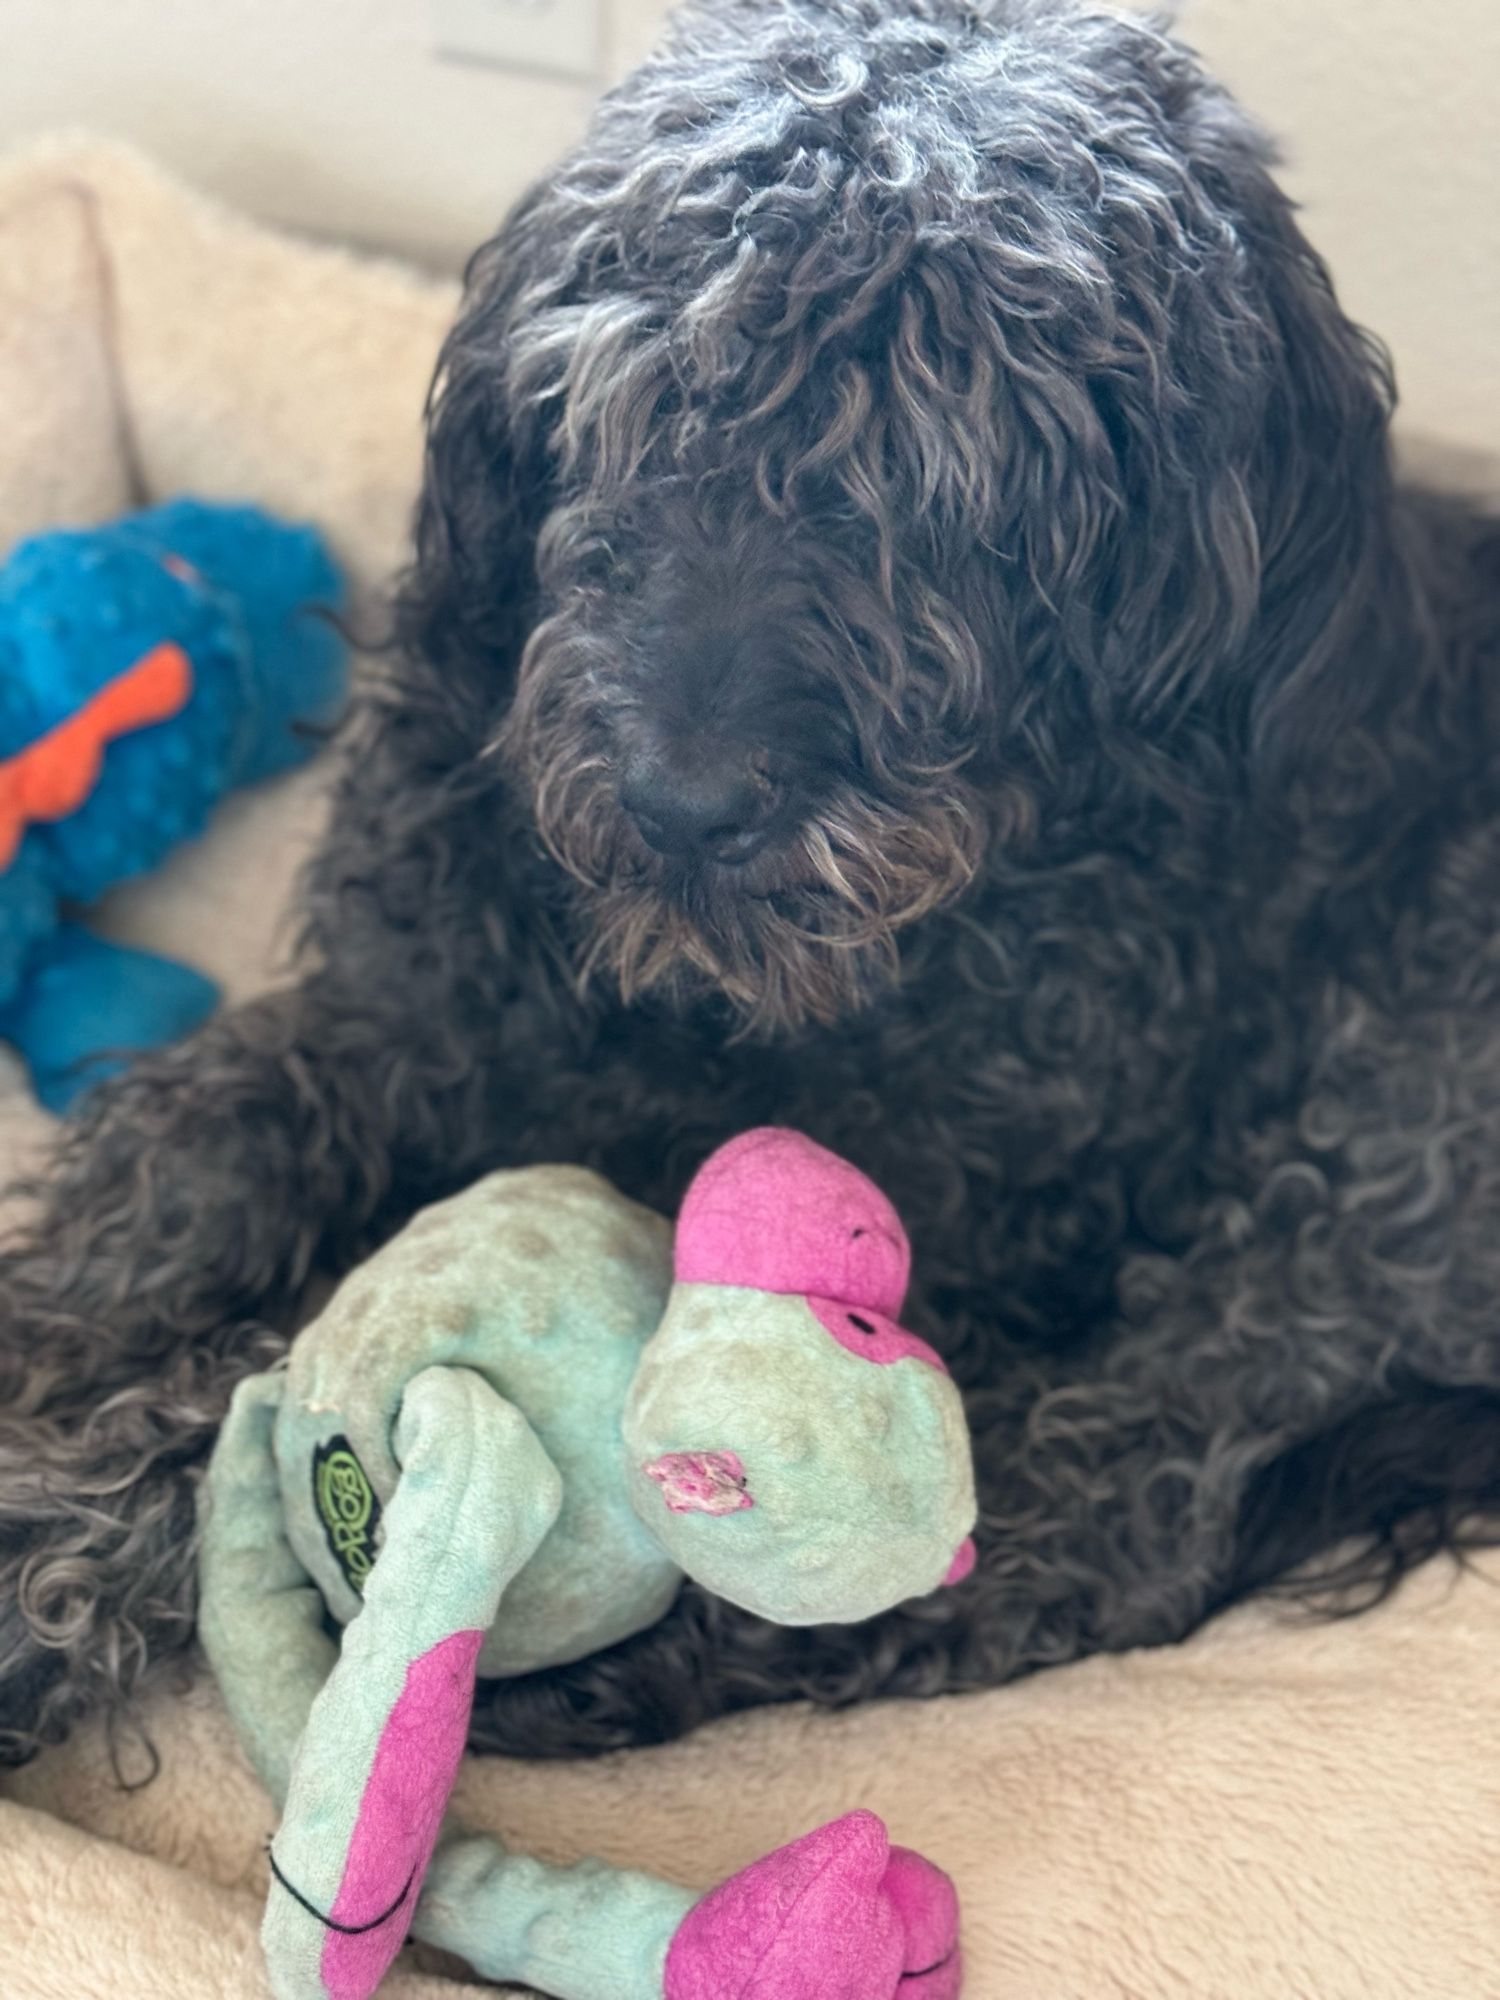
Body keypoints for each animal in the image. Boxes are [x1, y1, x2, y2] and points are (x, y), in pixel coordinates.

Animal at [2, 0, 1500, 1768]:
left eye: (972, 489)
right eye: (642, 402)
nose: (682, 808)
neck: (707, 1001)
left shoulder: (934, 1249)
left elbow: (274, 1372)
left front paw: (50, 1538)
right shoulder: (395, 1015)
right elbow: (180, 1172)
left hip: (1346, 1196)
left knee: (1087, 1525)